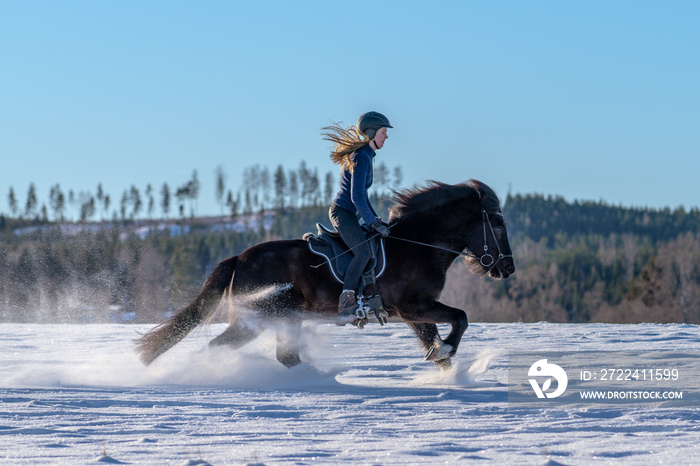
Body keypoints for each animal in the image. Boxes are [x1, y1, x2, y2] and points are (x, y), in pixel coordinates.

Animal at [138, 180, 516, 370]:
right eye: (498, 224)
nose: (508, 268)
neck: (418, 244)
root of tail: (240, 259)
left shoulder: (412, 312)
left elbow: (437, 343)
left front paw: (446, 371)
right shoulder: (414, 305)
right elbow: (461, 318)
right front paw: (447, 350)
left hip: (284, 317)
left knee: (285, 356)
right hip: (257, 319)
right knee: (221, 347)